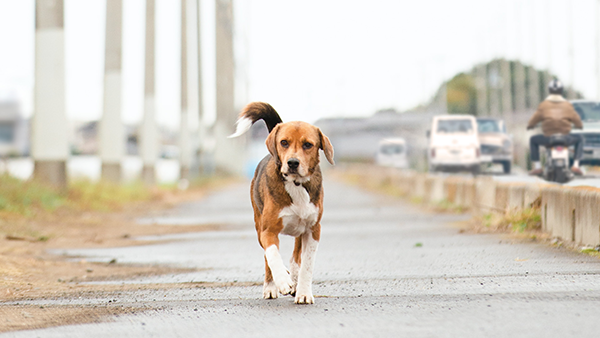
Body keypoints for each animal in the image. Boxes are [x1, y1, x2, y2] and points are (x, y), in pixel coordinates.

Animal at [229, 101, 336, 304]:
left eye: (308, 145)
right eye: (284, 142)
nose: (293, 162)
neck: (295, 184)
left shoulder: (313, 230)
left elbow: (306, 264)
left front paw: (303, 292)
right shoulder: (268, 231)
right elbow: (272, 255)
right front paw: (283, 282)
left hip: (300, 230)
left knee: (295, 257)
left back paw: (293, 279)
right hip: (259, 226)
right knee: (267, 258)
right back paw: (271, 287)